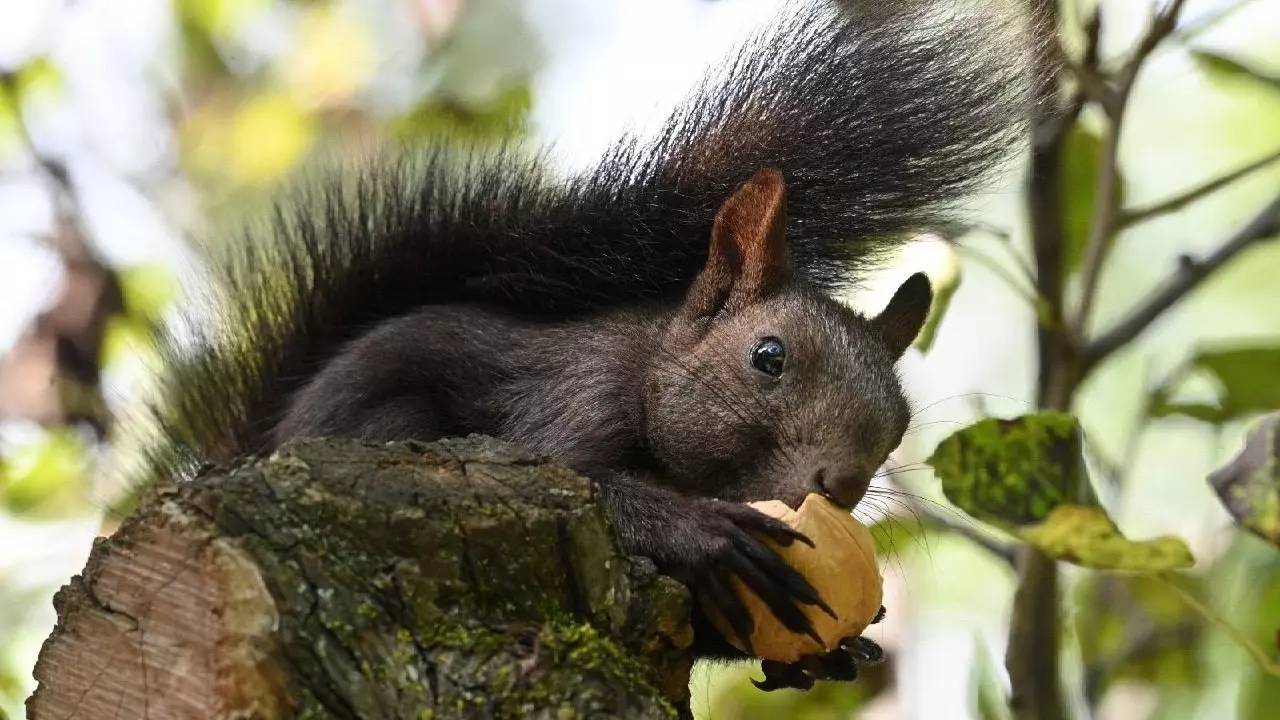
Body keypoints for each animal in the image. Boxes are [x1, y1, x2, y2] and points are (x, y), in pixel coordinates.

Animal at [120, 0, 1034, 696]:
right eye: (768, 357)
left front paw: (834, 649)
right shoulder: (574, 399)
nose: (840, 484)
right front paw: (702, 531)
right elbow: (576, 475)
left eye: (900, 421)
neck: (653, 373)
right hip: (387, 429)